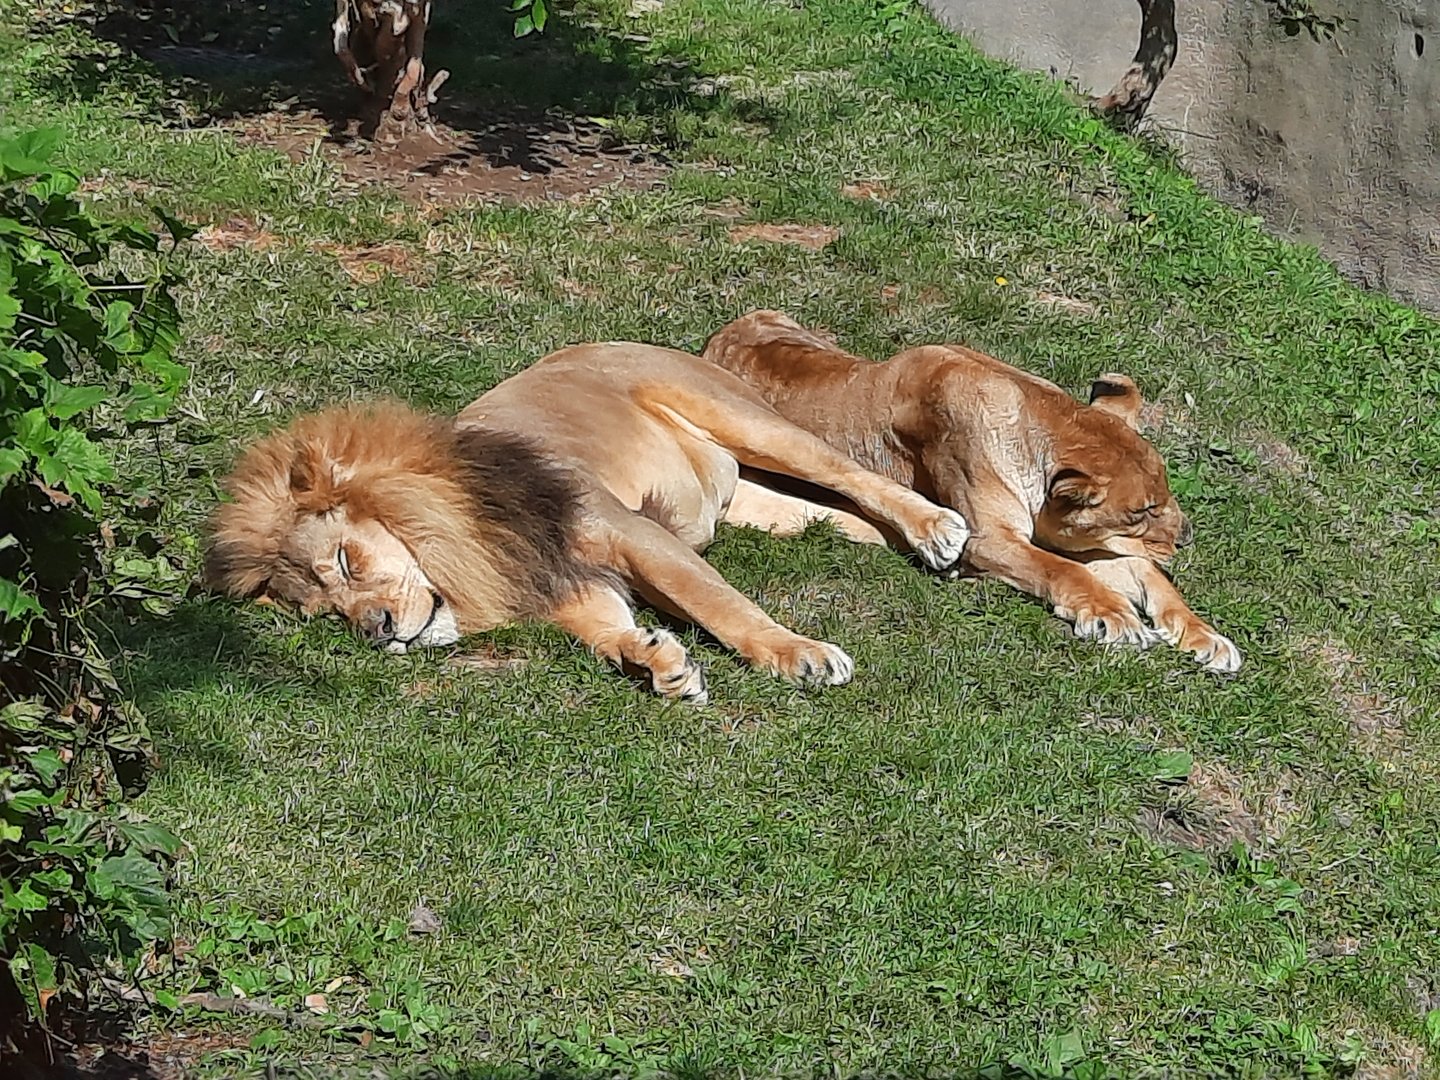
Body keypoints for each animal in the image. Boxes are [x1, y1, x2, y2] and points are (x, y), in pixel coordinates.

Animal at [204, 342, 972, 704]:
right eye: (326, 614)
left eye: (346, 561)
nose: (374, 630)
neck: (470, 554)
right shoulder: (563, 583)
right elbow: (604, 632)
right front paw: (657, 661)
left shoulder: (630, 532)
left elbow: (719, 604)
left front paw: (799, 655)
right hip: (756, 504)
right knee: (836, 513)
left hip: (748, 422)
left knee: (854, 474)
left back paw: (939, 530)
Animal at [701, 310, 1240, 673]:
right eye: (1143, 511)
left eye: (1165, 495)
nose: (1187, 537)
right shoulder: (986, 538)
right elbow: (1063, 570)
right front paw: (1114, 617)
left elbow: (1154, 579)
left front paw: (1207, 638)